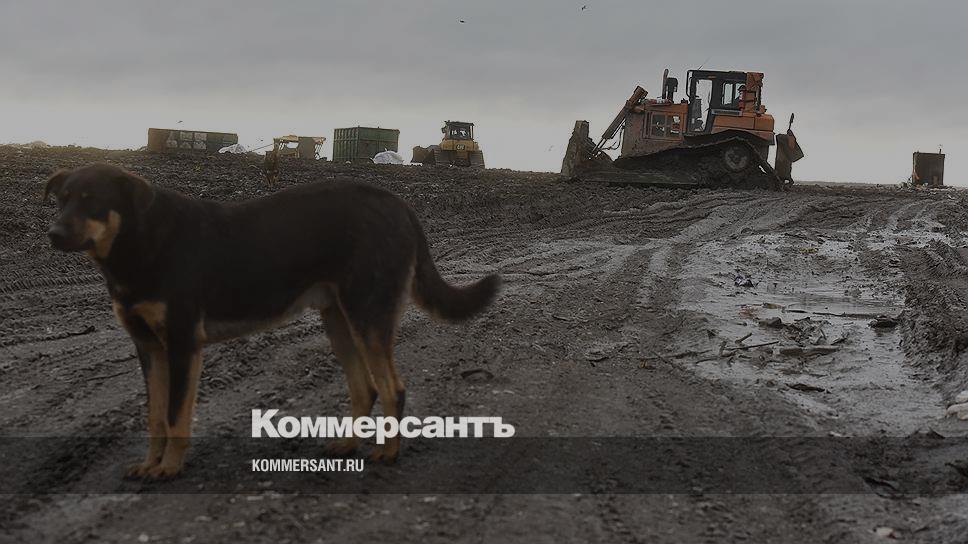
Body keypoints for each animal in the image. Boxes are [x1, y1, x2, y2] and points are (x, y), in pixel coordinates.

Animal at [44, 163, 500, 479]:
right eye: (62, 199)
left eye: (91, 199)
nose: (53, 234)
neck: (139, 242)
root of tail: (399, 203)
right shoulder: (149, 349)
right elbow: (155, 417)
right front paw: (150, 464)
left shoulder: (182, 344)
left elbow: (175, 416)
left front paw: (169, 468)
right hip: (338, 321)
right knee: (365, 388)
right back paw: (346, 445)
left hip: (367, 315)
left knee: (393, 388)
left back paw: (388, 453)